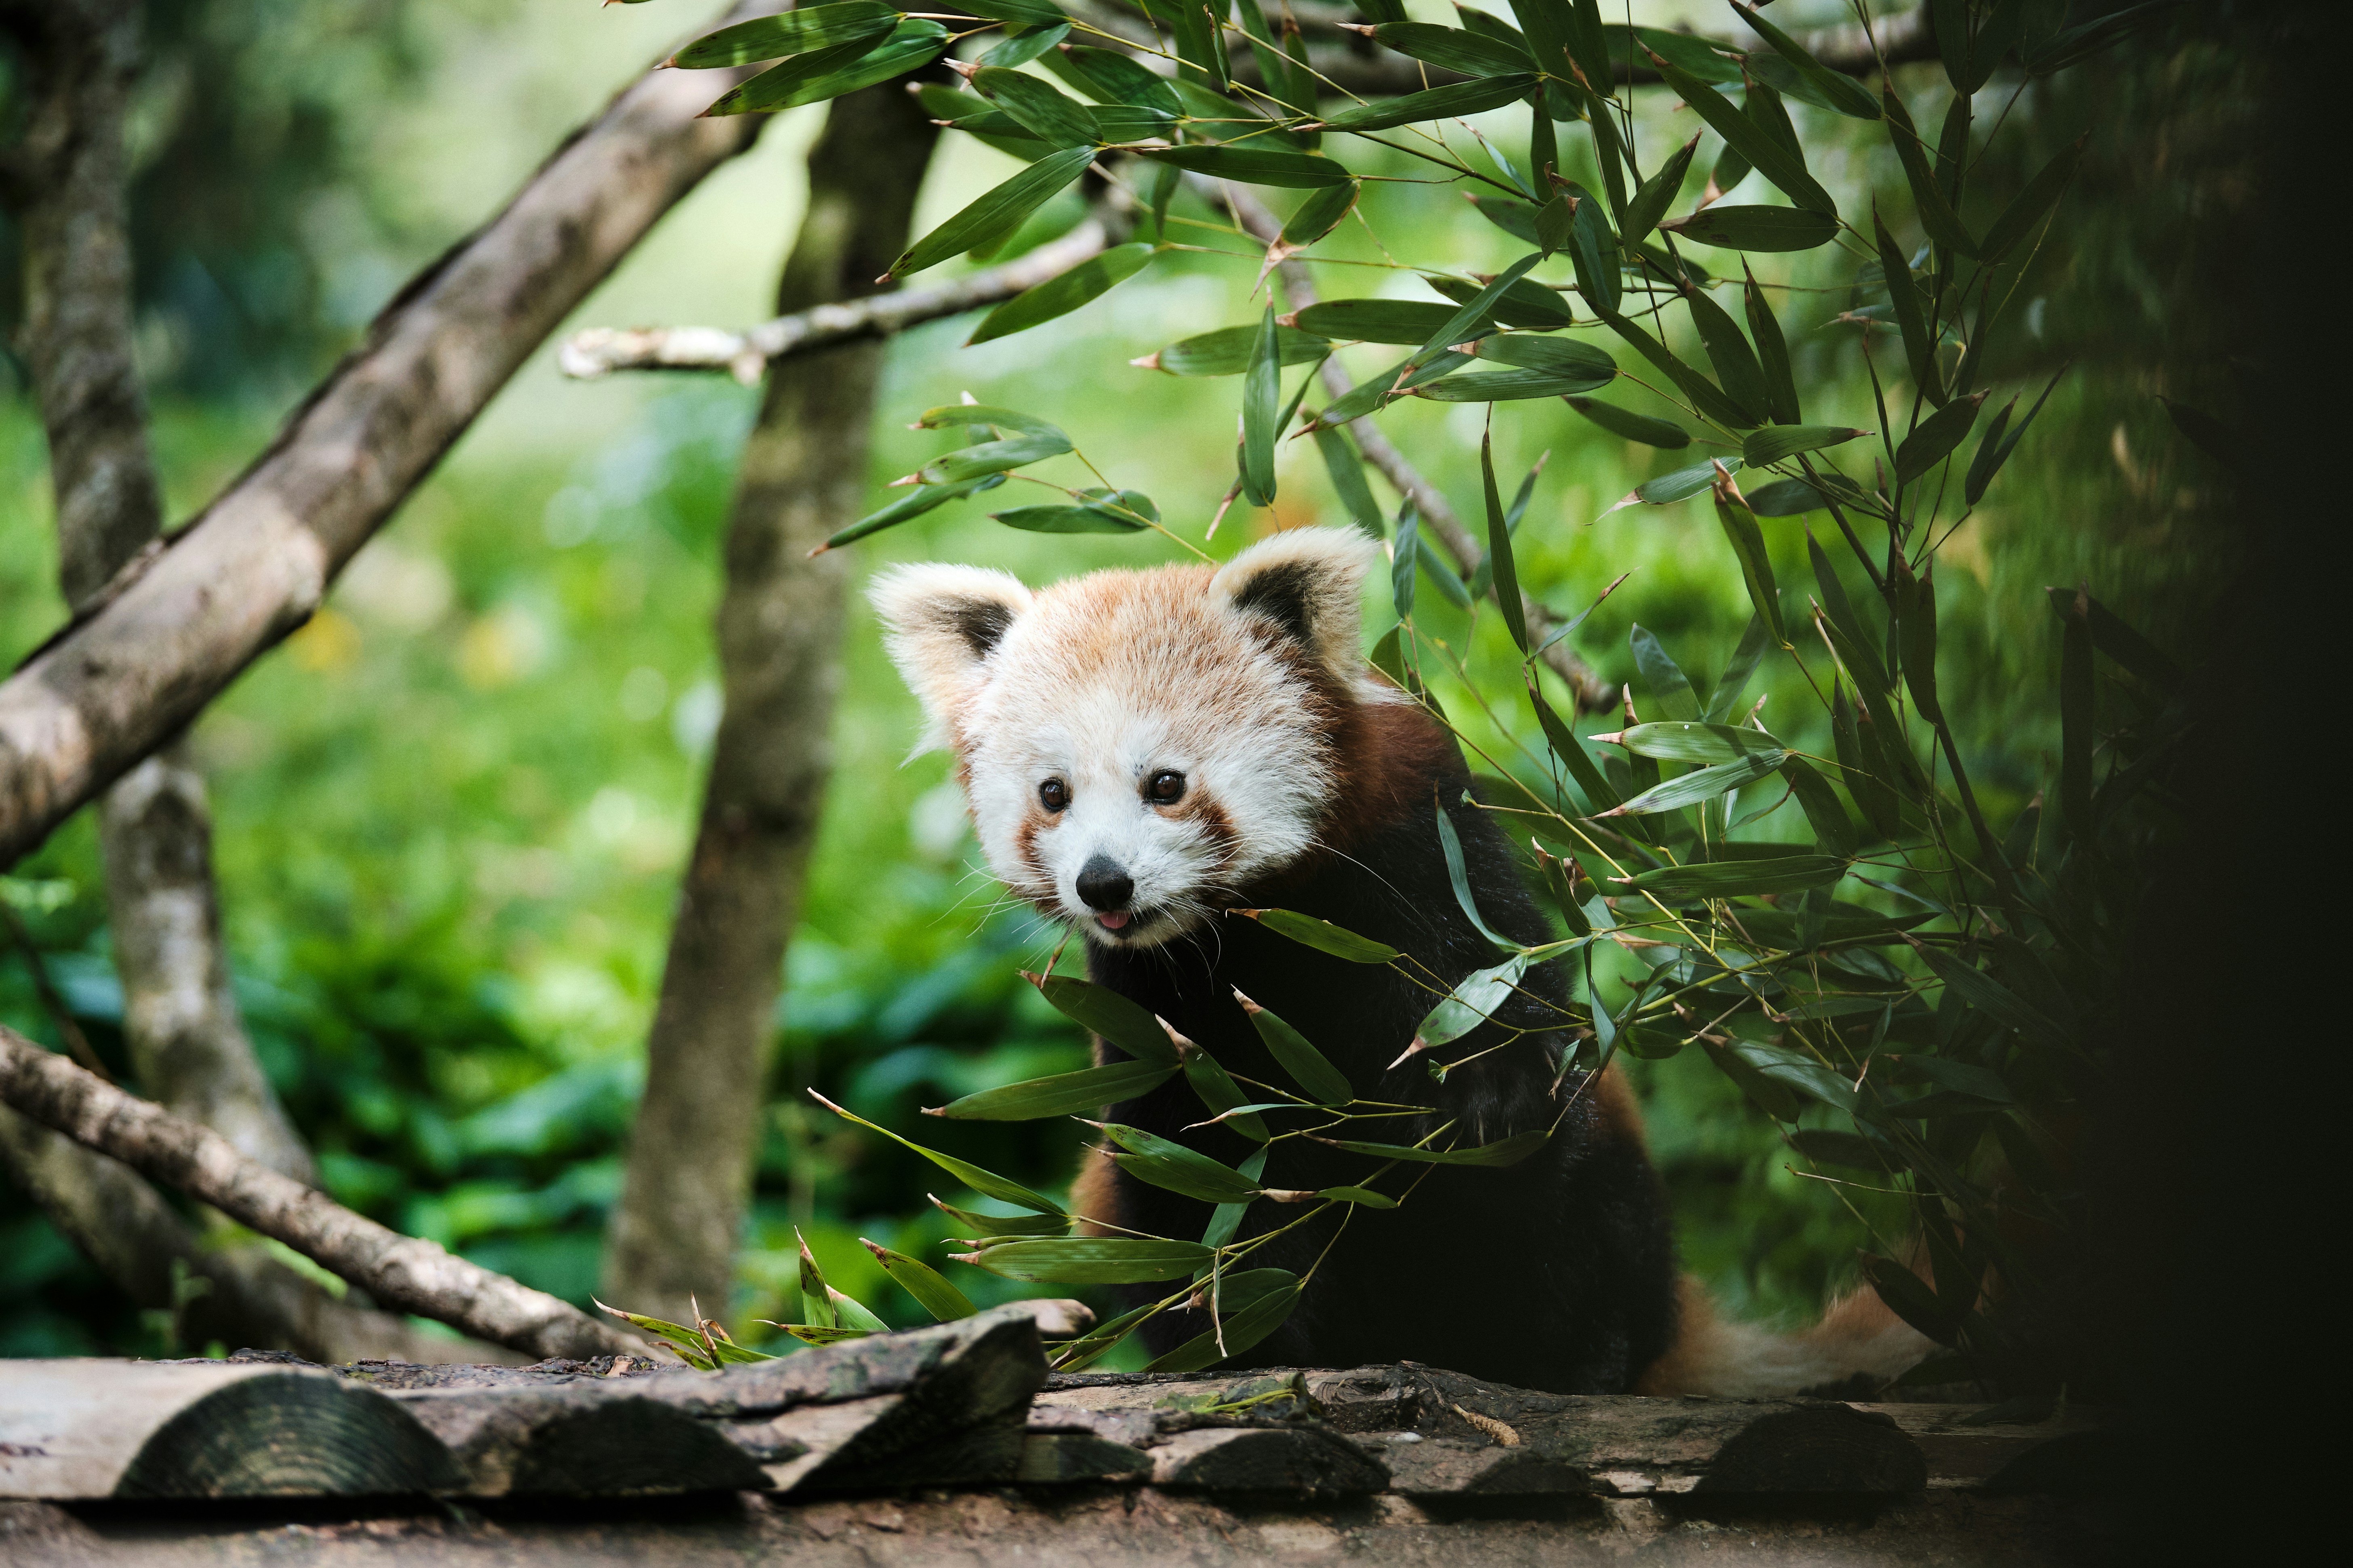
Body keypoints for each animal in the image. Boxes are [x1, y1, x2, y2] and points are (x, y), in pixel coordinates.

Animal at [874, 525, 1928, 1396]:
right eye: (1052, 794)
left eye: (1165, 784)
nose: (1103, 883)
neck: (1255, 936)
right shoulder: (1149, 1014)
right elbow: (1191, 1175)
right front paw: (1249, 1331)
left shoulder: (1427, 854)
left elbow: (1502, 1014)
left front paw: (1483, 1094)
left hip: (1612, 1214)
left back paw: (1572, 1359)